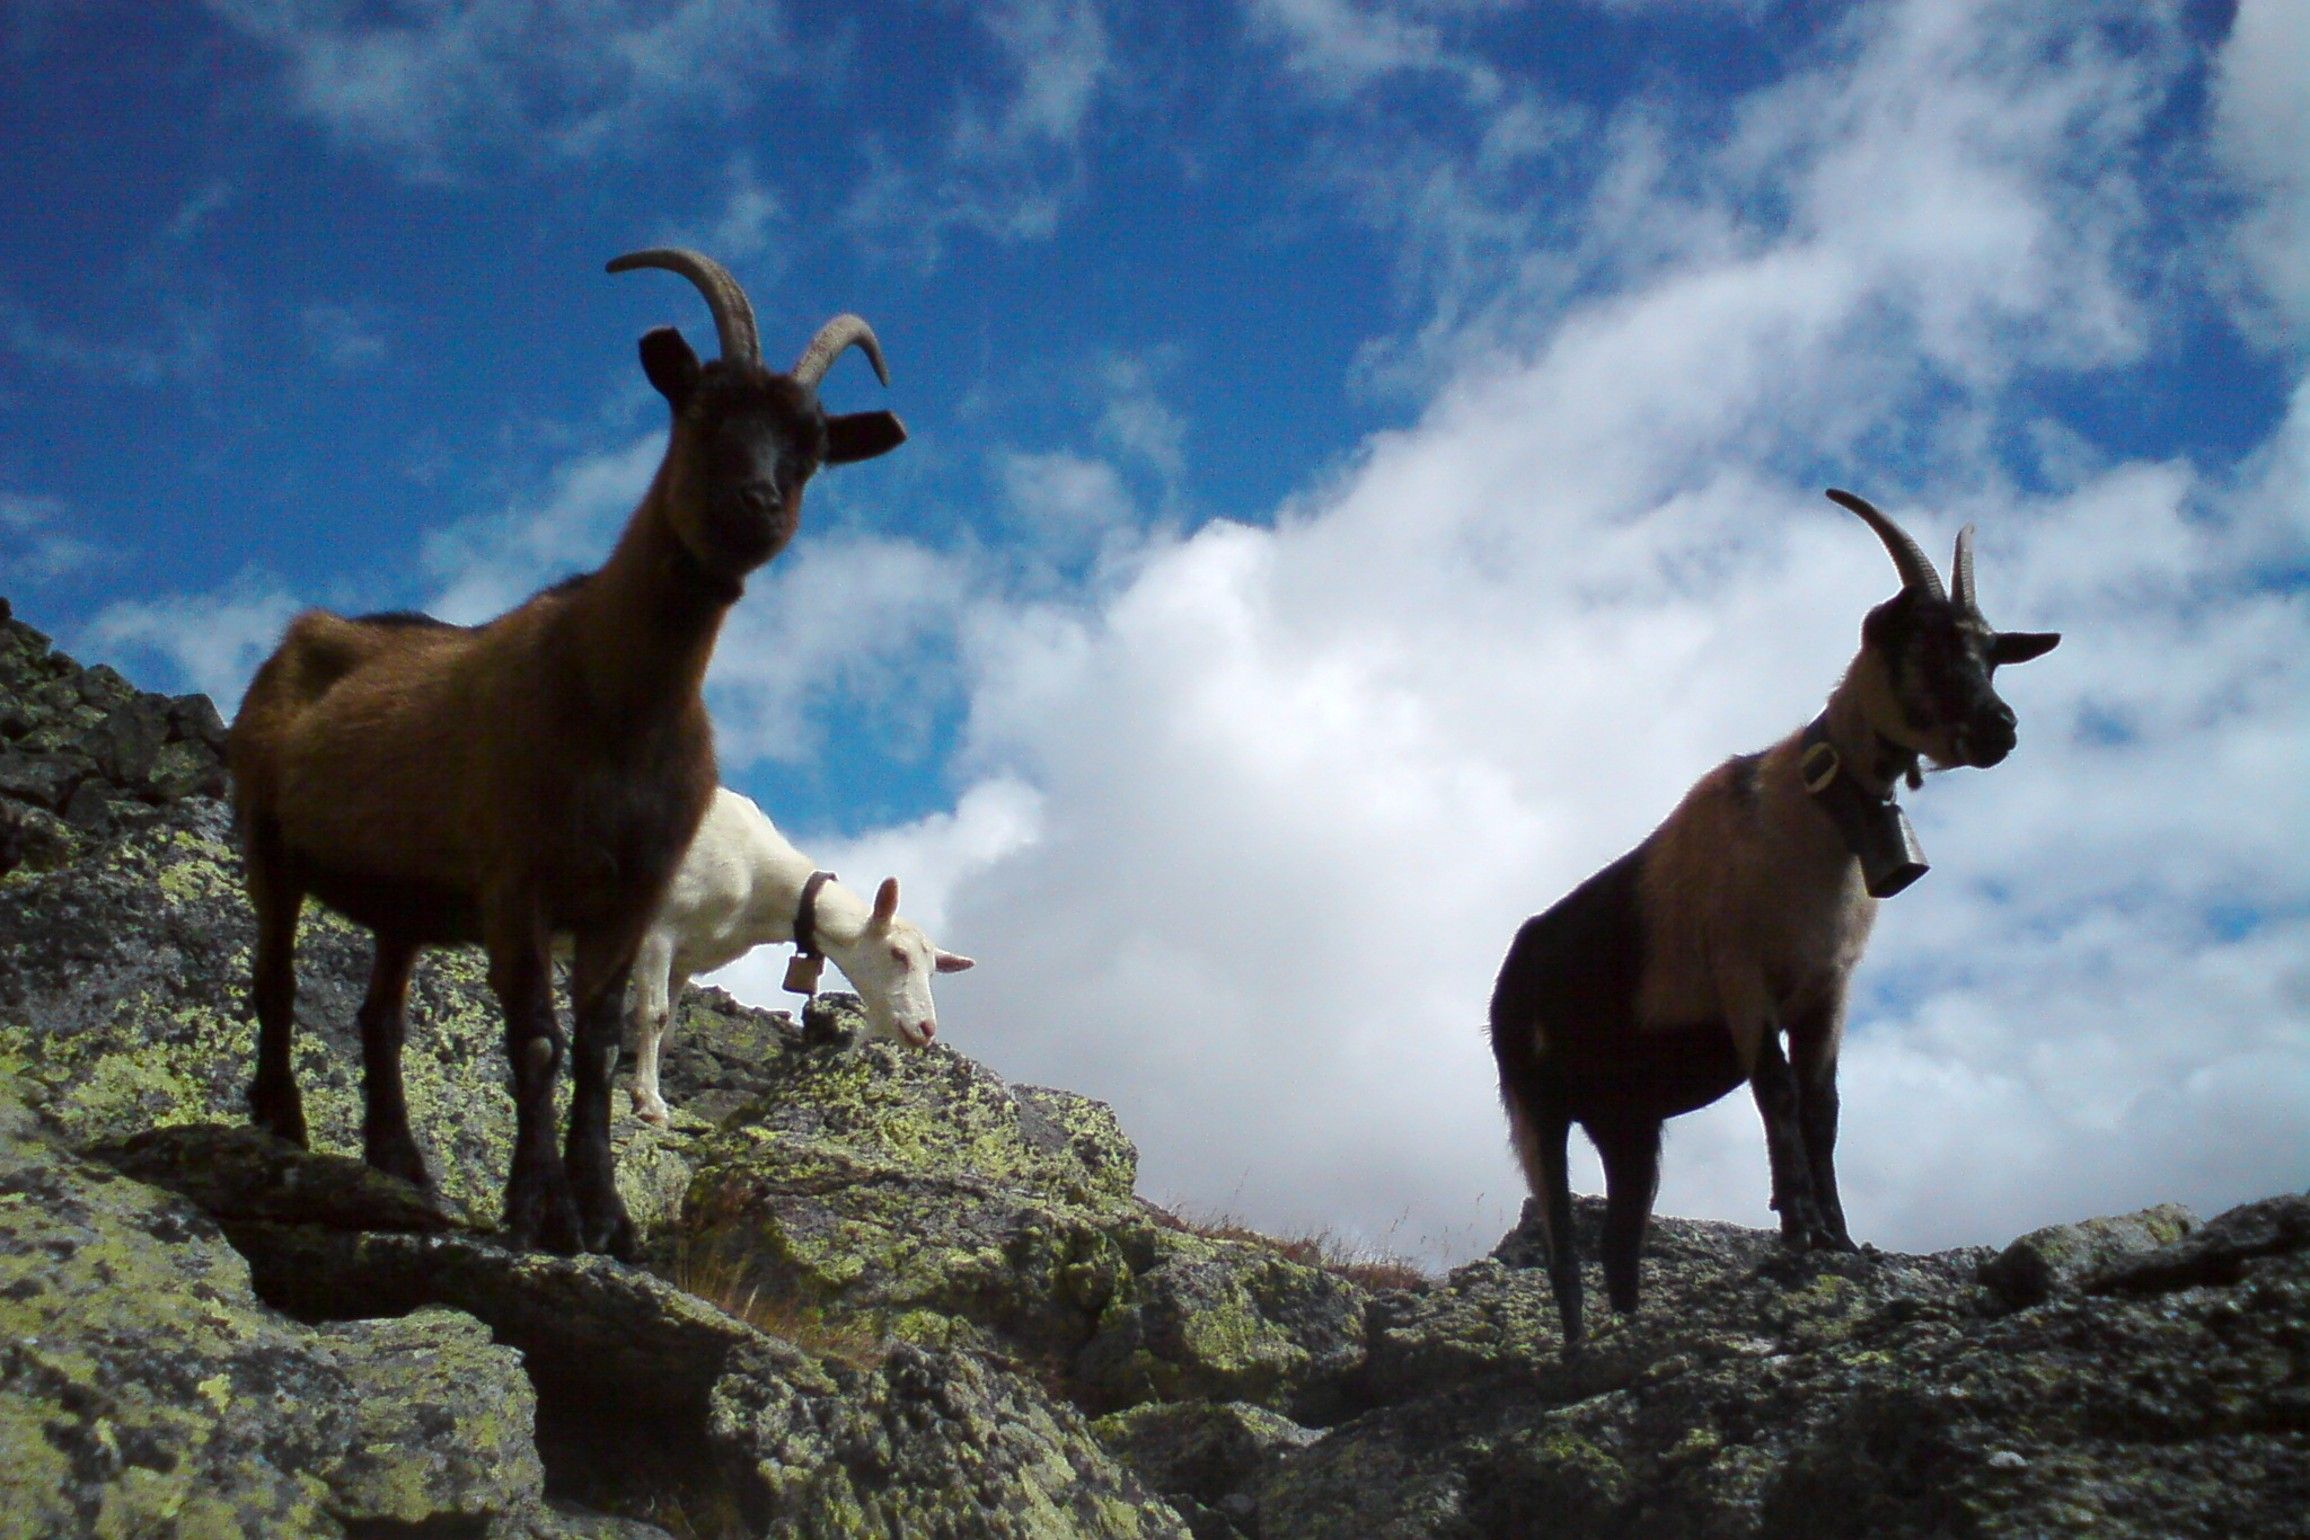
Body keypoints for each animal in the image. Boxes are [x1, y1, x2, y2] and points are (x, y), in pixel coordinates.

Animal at [226, 249, 906, 1256]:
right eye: (702, 408)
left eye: (814, 446)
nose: (758, 505)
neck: (615, 702)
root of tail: (298, 637)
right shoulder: (520, 879)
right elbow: (540, 1039)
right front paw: (539, 1208)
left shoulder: (626, 898)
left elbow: (595, 1041)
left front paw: (607, 1217)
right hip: (268, 840)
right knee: (273, 977)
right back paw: (283, 1122)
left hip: (402, 902)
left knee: (379, 1014)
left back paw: (400, 1162)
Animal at [625, 786, 975, 1125]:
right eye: (897, 953)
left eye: (932, 972)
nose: (926, 1029)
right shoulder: (659, 931)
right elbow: (655, 1016)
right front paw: (649, 1102)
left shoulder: (685, 959)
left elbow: (669, 1032)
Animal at [1489, 489, 2059, 1345]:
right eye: (1917, 641)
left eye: (1991, 653)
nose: (2000, 728)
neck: (1803, 818)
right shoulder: (1742, 977)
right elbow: (1778, 1095)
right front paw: (1799, 1232)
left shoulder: (1829, 990)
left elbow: (1824, 1108)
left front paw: (1843, 1239)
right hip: (1534, 1106)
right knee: (1562, 1244)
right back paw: (1579, 1351)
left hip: (1627, 1123)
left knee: (1621, 1238)